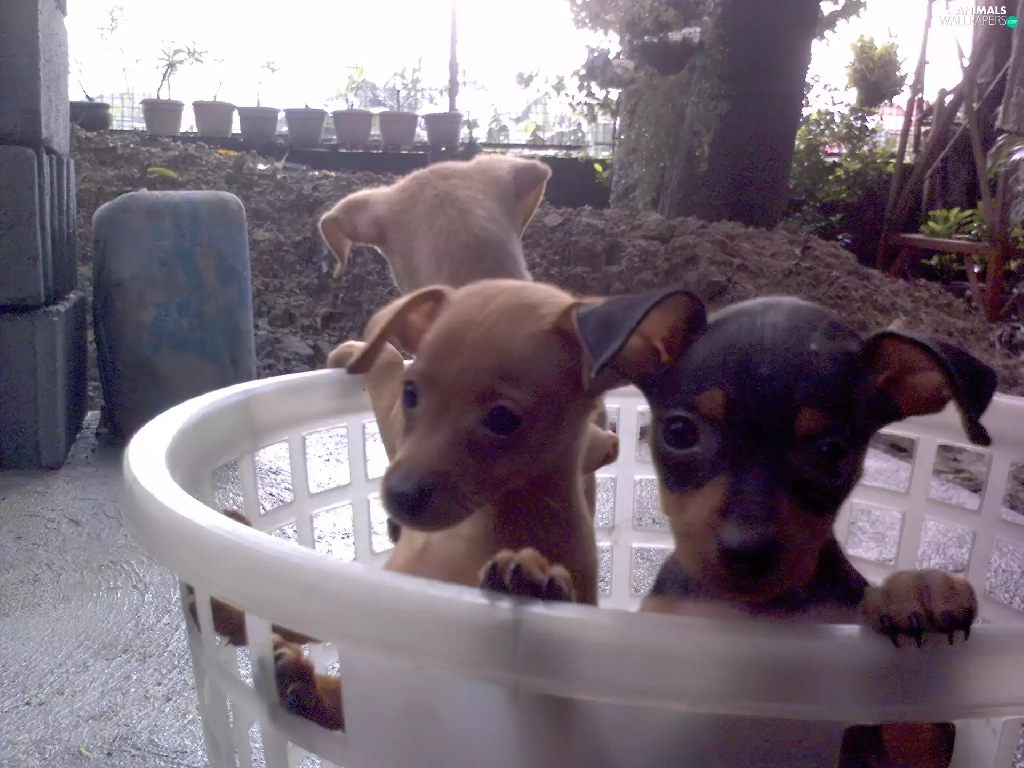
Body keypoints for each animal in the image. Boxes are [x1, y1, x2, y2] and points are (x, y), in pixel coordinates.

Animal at [188, 279, 633, 730]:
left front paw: (535, 583)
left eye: (503, 419)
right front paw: (231, 606)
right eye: (411, 392)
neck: (472, 532)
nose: (400, 495)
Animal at [508, 289, 996, 768]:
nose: (746, 551)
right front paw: (537, 579)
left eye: (831, 450)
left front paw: (918, 590)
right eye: (680, 431)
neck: (748, 616)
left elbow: (918, 725)